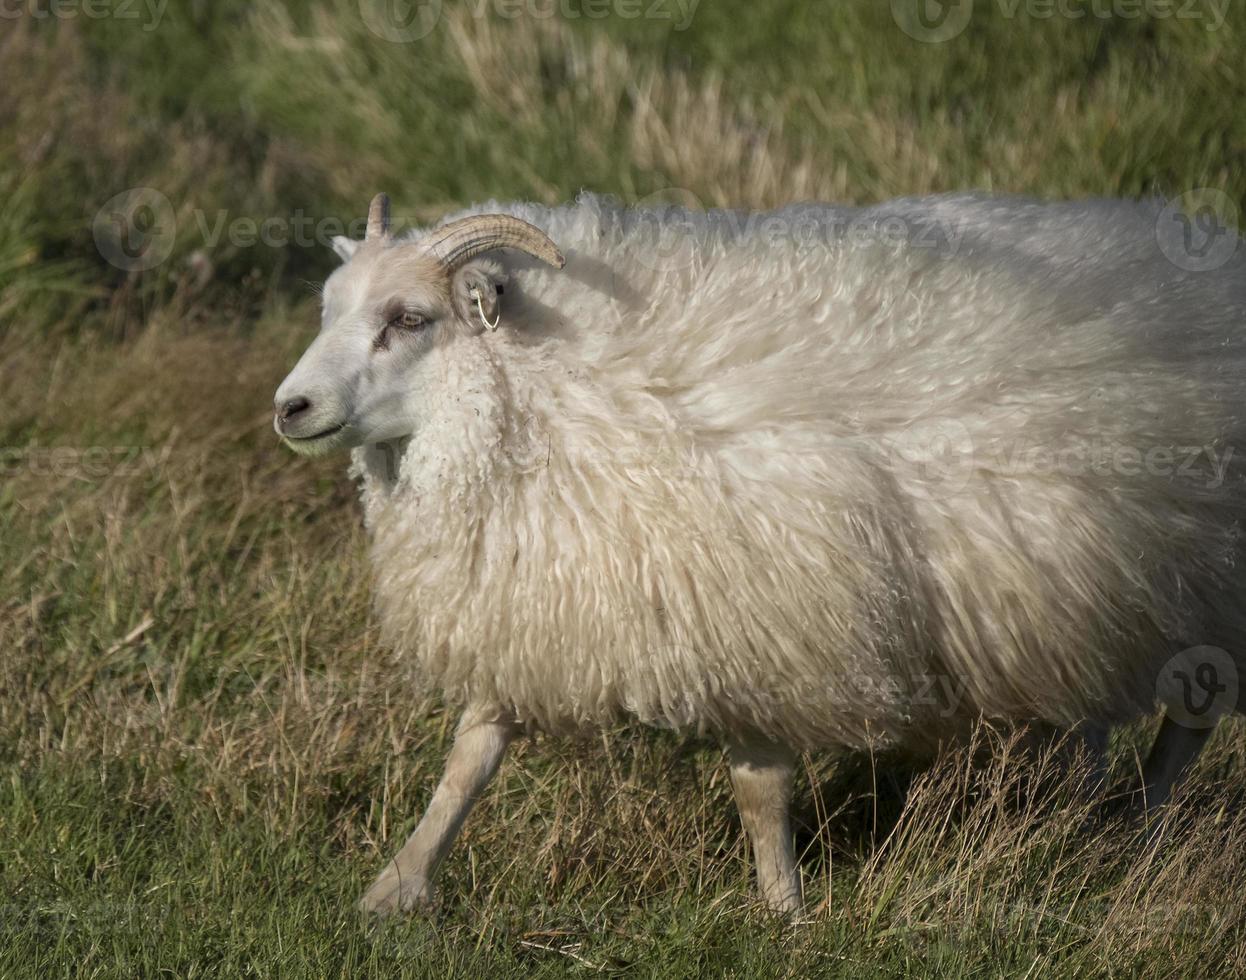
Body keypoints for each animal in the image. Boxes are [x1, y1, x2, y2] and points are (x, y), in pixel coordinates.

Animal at [275, 193, 1246, 921]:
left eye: (409, 319)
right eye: (328, 309)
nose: (291, 407)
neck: (557, 390)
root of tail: (1208, 250)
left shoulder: (767, 613)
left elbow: (758, 787)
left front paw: (783, 914)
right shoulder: (538, 592)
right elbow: (472, 754)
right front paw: (396, 887)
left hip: (1199, 580)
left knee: (1190, 716)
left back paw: (1137, 831)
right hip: (1082, 595)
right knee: (1094, 713)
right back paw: (1079, 818)